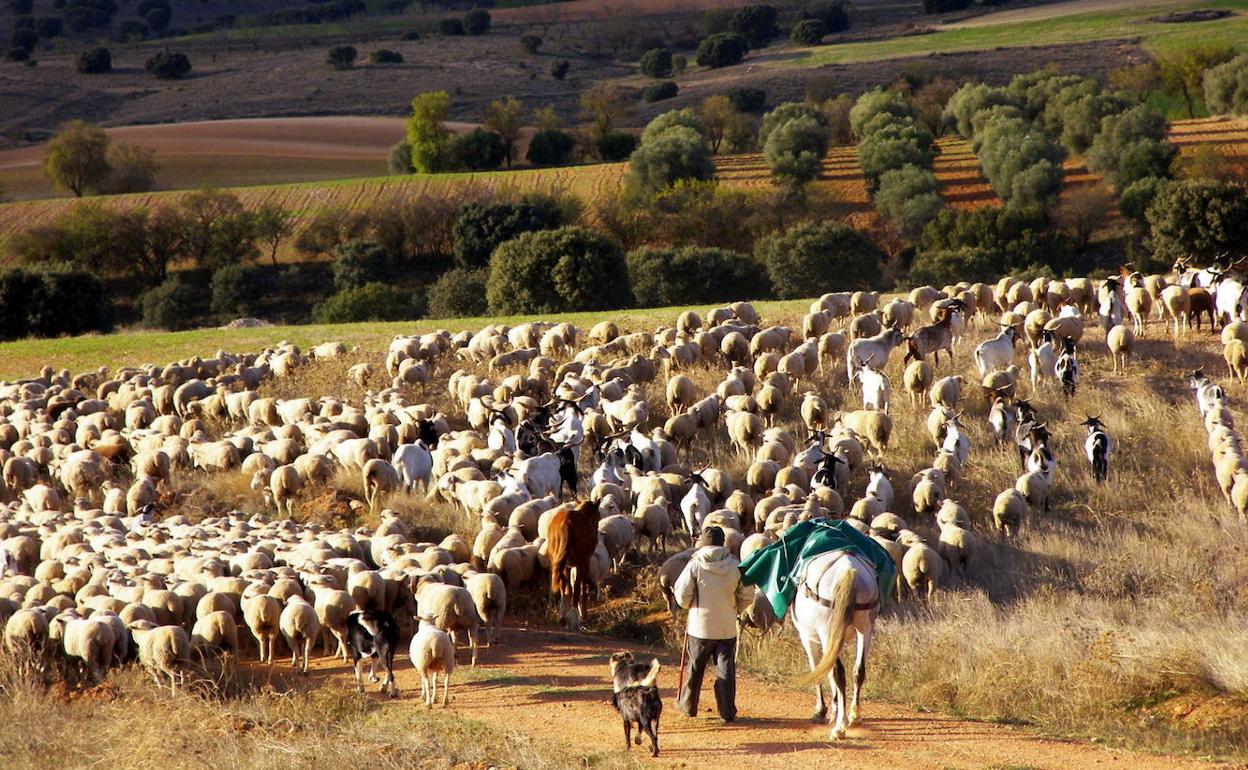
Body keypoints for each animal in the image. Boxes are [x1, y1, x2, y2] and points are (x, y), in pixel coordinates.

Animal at [793, 546, 883, 738]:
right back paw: (854, 716)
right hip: (865, 627)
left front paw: (821, 711)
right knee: (859, 670)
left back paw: (839, 728)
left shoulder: (808, 637)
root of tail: (848, 570)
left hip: (827, 629)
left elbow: (819, 670)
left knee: (838, 673)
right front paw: (836, 708)